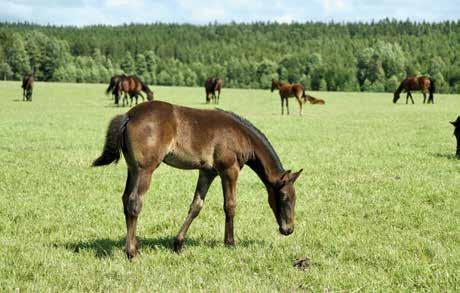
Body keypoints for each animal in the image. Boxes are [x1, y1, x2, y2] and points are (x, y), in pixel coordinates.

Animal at [92, 100, 302, 258]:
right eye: (285, 198)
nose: (289, 229)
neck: (241, 136)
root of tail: (129, 115)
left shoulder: (207, 172)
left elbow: (196, 206)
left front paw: (178, 244)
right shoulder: (229, 170)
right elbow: (230, 205)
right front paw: (230, 243)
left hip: (133, 169)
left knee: (125, 199)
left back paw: (135, 245)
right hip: (145, 169)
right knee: (134, 202)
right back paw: (131, 252)